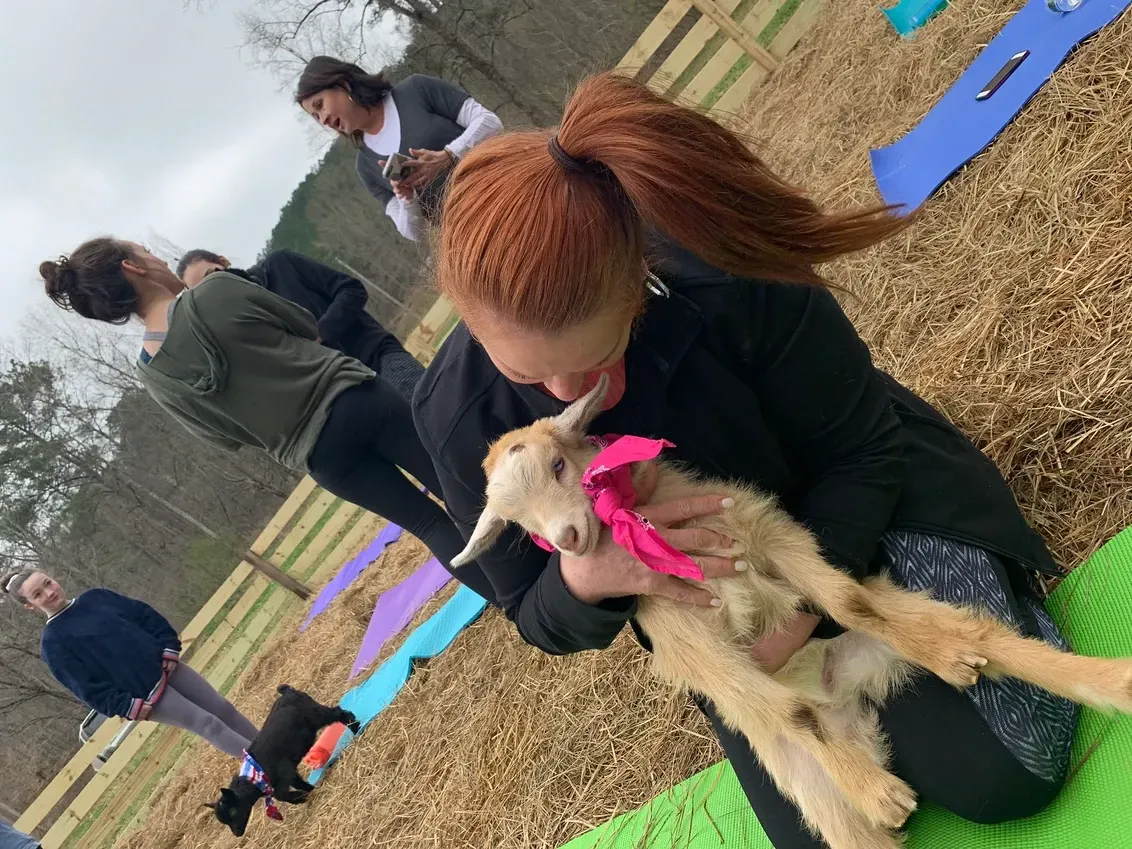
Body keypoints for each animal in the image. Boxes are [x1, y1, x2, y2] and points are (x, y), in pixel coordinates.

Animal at [207, 685, 358, 837]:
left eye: (233, 811)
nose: (237, 833)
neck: (254, 774)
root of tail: (287, 691)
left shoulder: (285, 770)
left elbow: (279, 795)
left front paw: (300, 797)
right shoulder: (289, 773)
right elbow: (298, 783)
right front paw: (309, 791)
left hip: (317, 715)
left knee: (338, 713)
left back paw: (355, 728)